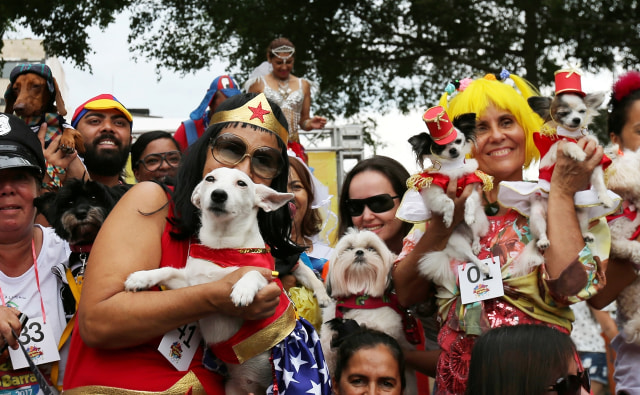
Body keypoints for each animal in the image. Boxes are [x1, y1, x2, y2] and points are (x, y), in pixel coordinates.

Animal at [408, 107, 492, 288]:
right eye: (439, 147)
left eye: (459, 141)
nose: (453, 150)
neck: (453, 168)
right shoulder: (434, 195)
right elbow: (448, 202)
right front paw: (448, 218)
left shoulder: (472, 189)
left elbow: (469, 201)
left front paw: (468, 215)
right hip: (456, 241)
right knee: (469, 256)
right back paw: (482, 265)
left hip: (477, 224)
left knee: (476, 235)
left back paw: (476, 244)